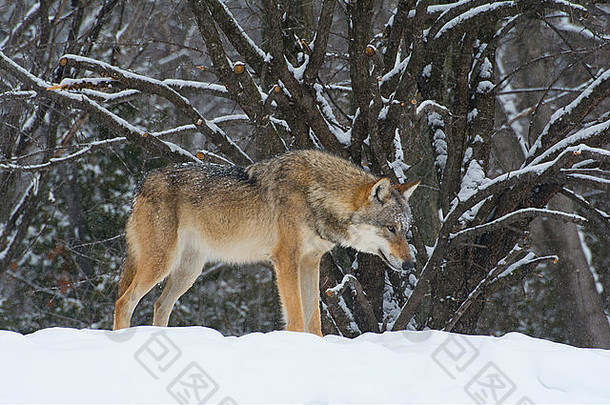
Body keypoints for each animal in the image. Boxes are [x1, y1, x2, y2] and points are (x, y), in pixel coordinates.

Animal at [113, 148, 418, 334]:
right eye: (390, 228)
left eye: (406, 230)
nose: (410, 265)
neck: (316, 195)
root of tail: (143, 182)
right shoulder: (286, 260)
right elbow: (297, 317)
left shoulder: (311, 262)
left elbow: (315, 321)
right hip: (161, 264)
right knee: (124, 302)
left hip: (188, 272)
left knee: (159, 304)